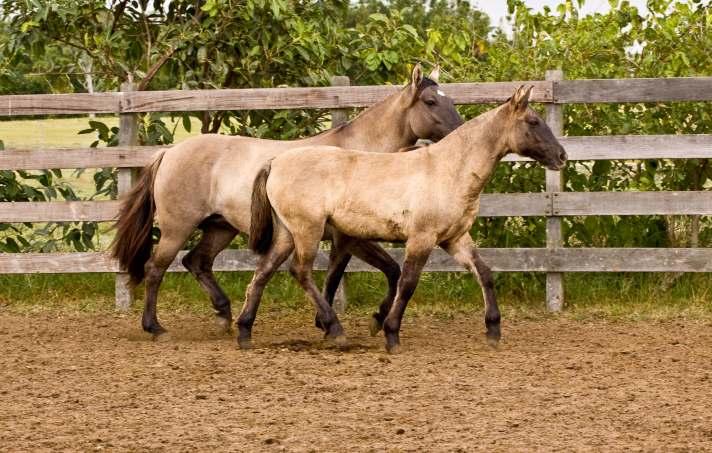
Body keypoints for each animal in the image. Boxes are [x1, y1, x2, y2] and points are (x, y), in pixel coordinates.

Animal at [110, 63, 462, 336]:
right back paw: (155, 327)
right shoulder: (350, 237)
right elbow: (384, 270)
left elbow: (340, 277)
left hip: (220, 227)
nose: (460, 131)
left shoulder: (341, 239)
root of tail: (168, 153)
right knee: (156, 268)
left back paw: (225, 316)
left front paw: (330, 321)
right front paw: (356, 321)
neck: (357, 156)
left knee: (197, 262)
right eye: (430, 101)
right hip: (177, 227)